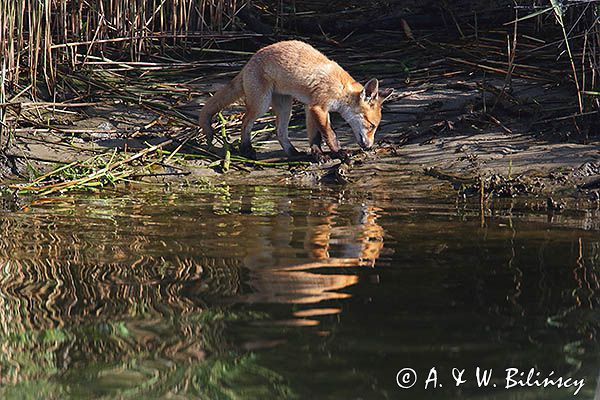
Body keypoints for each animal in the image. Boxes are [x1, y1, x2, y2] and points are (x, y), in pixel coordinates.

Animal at [198, 39, 394, 159]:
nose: (369, 147)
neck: (341, 89)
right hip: (261, 105)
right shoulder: (319, 107)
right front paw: (338, 152)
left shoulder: (310, 107)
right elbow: (330, 134)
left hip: (286, 107)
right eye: (372, 126)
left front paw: (318, 154)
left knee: (280, 132)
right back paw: (246, 150)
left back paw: (292, 152)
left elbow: (314, 136)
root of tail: (249, 62)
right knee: (245, 123)